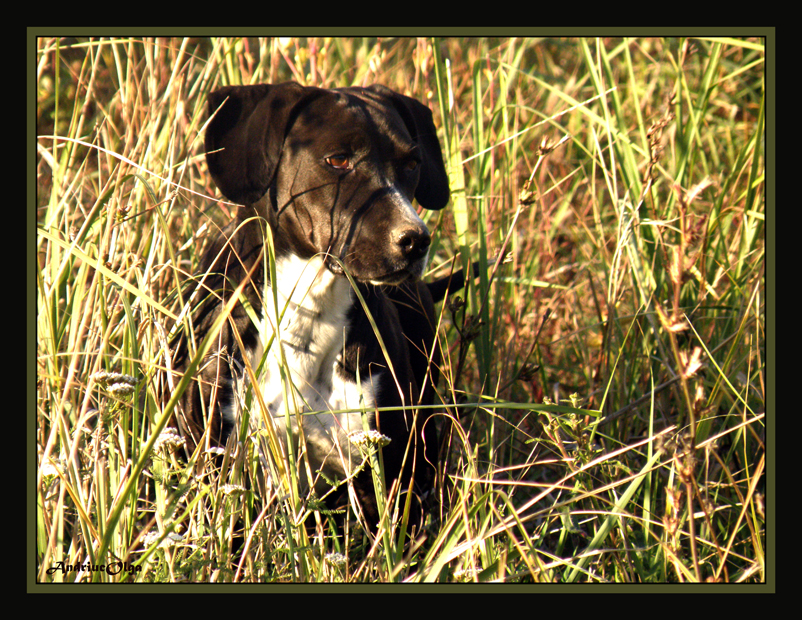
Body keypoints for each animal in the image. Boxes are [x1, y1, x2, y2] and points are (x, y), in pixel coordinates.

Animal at [170, 80, 460, 532]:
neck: (311, 305)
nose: (415, 239)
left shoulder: (391, 474)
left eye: (412, 163)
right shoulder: (217, 458)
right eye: (338, 160)